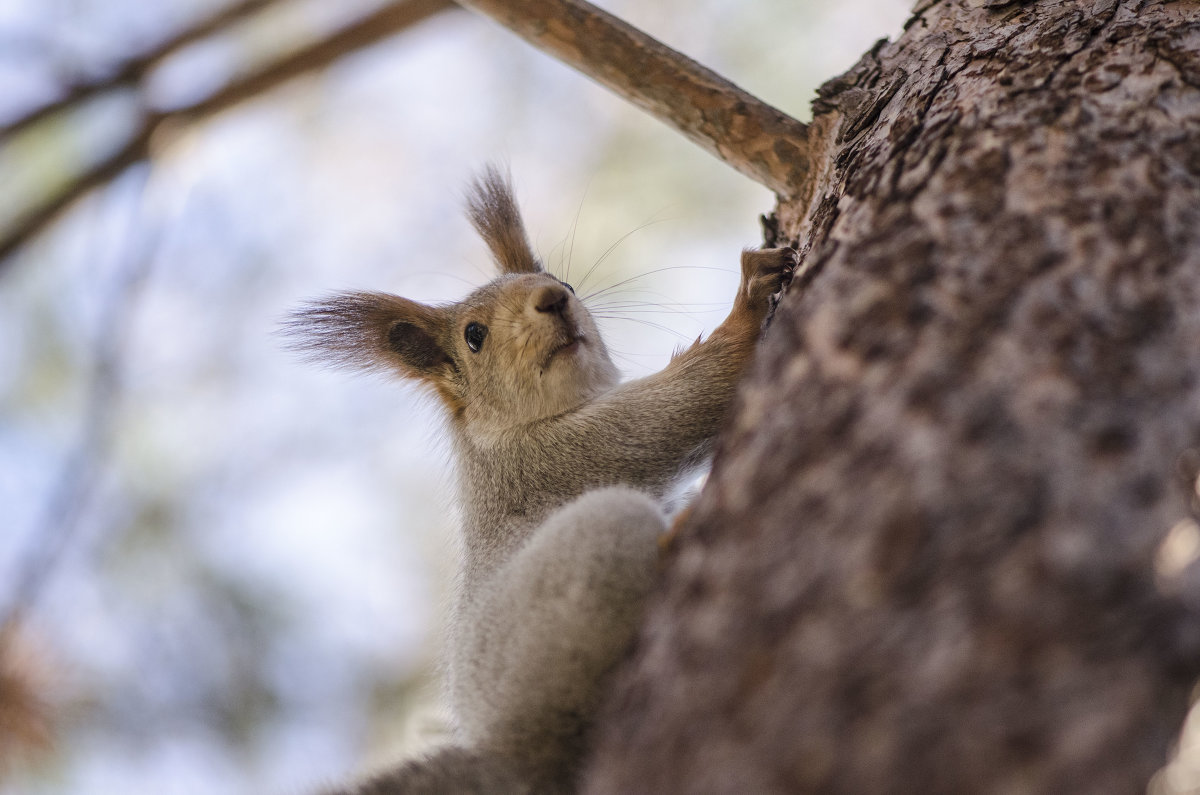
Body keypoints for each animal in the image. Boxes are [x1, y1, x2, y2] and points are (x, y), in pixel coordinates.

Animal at [286, 164, 796, 792]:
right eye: (474, 335)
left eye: (563, 281)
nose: (553, 299)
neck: (504, 429)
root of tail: (507, 754)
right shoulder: (562, 452)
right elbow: (688, 401)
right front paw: (749, 300)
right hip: (589, 555)